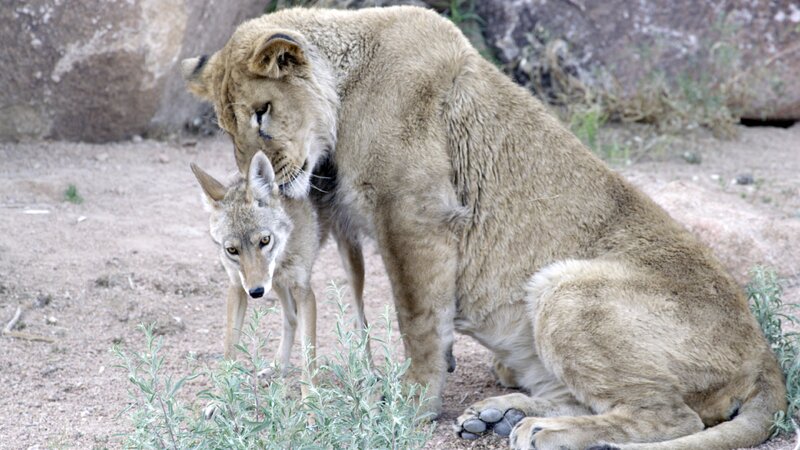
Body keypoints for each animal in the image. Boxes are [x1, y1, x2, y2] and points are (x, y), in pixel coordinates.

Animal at [181, 6, 785, 449]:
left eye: (262, 112)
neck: (348, 84)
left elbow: (417, 318)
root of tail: (764, 356)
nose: (266, 182)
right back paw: (500, 416)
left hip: (566, 287)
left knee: (672, 418)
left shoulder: (414, 211)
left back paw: (544, 431)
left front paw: (410, 401)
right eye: (227, 127)